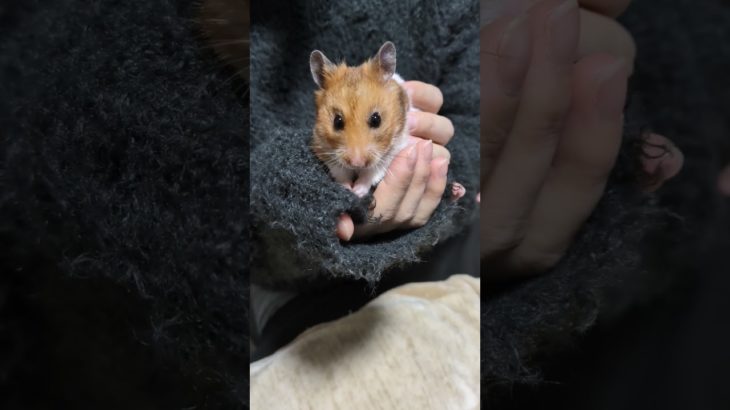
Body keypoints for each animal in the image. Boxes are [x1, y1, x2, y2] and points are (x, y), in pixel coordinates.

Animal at [309, 41, 413, 197]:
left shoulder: (393, 149)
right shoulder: (323, 148)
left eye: (376, 120)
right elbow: (340, 173)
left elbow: (370, 174)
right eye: (337, 122)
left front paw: (358, 191)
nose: (356, 162)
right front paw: (347, 188)